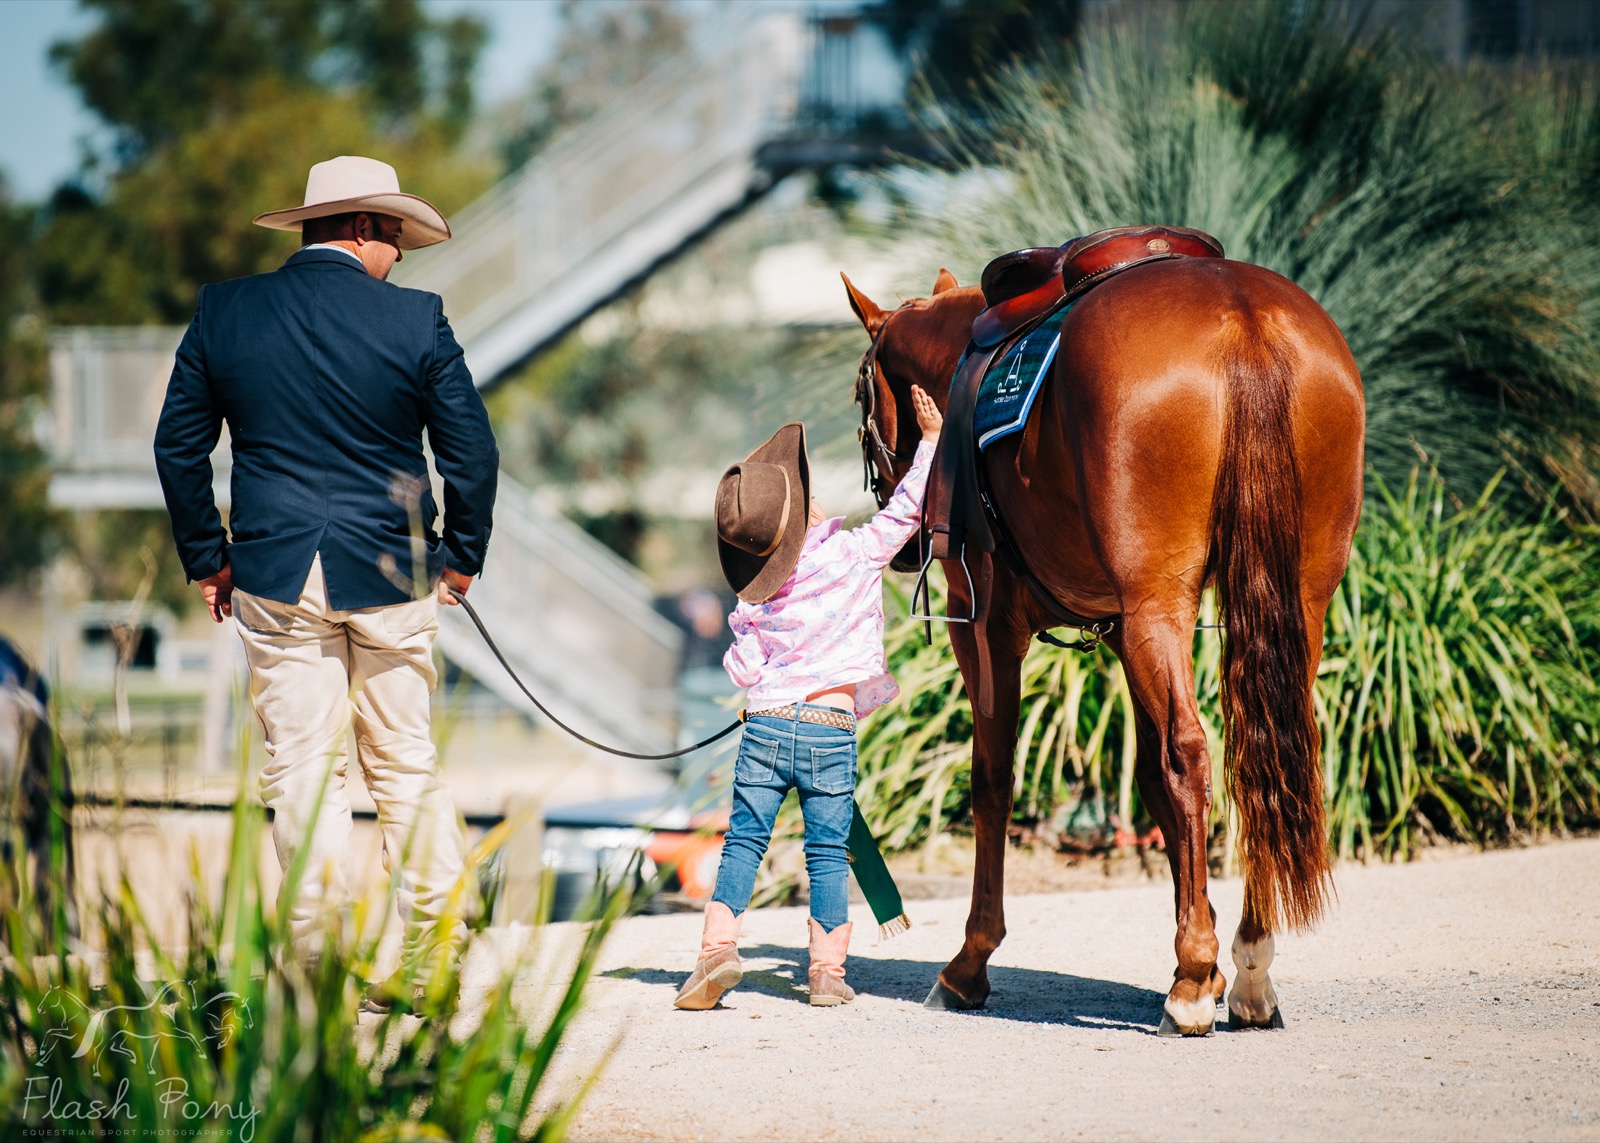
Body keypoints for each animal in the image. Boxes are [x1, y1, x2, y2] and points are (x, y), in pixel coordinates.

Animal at [843, 253, 1364, 1034]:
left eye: (860, 394)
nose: (900, 541)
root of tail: (1244, 318)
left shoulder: (987, 627)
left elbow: (993, 782)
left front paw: (970, 963)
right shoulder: (1121, 630)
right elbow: (1151, 783)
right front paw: (1201, 952)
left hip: (1160, 607)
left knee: (1192, 754)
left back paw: (1194, 985)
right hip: (1291, 601)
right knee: (1268, 760)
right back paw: (1245, 969)